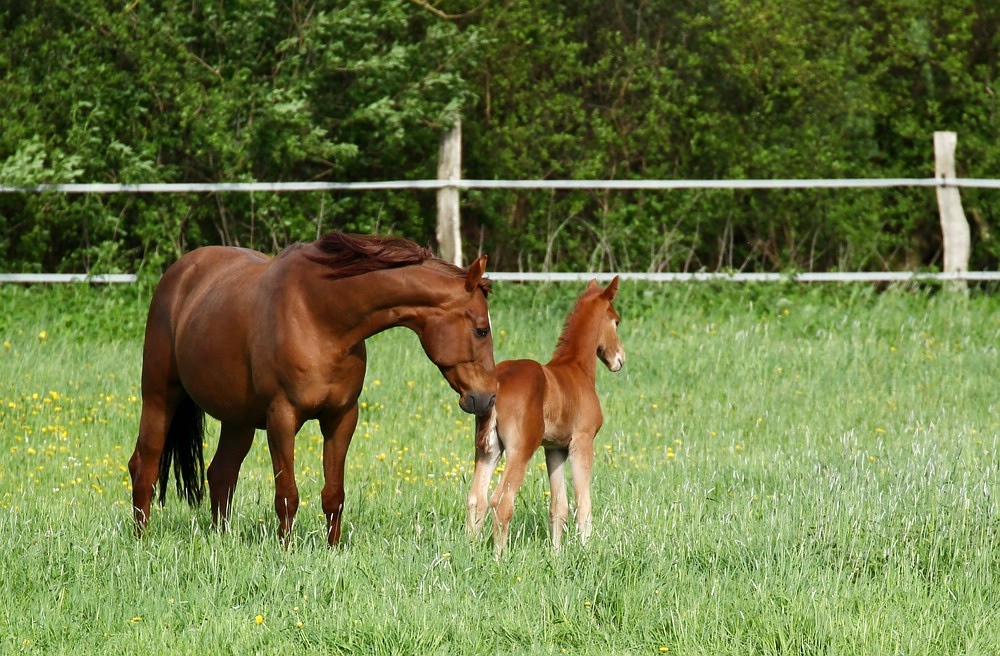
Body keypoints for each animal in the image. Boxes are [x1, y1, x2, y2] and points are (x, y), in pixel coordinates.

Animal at [129, 231, 496, 544]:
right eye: (481, 329)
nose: (487, 397)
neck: (319, 316)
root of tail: (179, 272)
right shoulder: (281, 418)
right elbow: (287, 495)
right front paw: (286, 550)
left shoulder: (342, 417)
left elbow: (334, 494)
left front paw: (332, 550)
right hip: (159, 397)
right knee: (144, 465)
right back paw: (141, 539)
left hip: (238, 420)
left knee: (221, 474)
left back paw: (221, 540)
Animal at [466, 274, 620, 556]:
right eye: (616, 321)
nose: (619, 359)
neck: (577, 368)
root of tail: (497, 384)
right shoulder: (582, 442)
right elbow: (583, 503)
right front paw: (586, 550)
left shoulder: (554, 448)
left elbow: (559, 506)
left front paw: (557, 554)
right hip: (520, 450)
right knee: (501, 501)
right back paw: (499, 557)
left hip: (488, 449)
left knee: (476, 498)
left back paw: (468, 550)